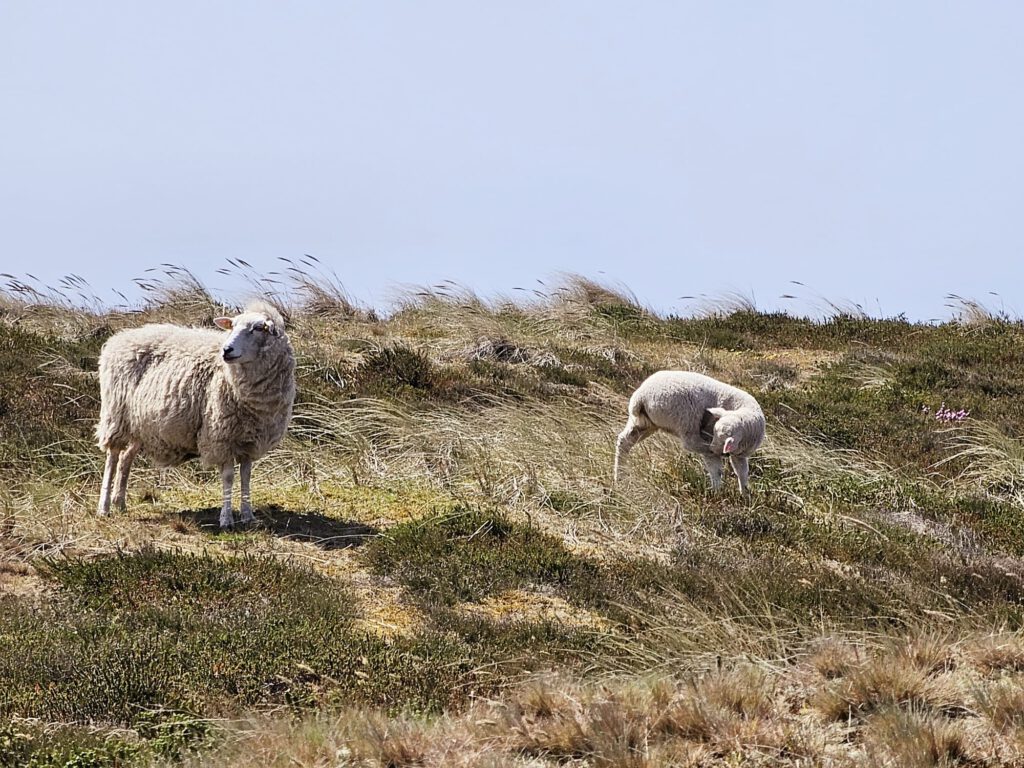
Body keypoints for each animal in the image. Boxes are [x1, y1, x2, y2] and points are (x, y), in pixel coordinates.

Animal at [95, 300, 296, 528]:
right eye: (232, 326)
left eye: (258, 328)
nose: (226, 350)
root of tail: (119, 337)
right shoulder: (221, 436)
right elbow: (228, 477)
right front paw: (226, 520)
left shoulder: (250, 440)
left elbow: (246, 476)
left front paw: (248, 516)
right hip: (116, 415)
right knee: (112, 457)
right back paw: (104, 507)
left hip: (141, 424)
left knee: (126, 458)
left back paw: (120, 503)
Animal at [613, 371, 765, 493]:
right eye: (715, 435)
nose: (712, 447)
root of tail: (640, 396)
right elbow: (716, 469)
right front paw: (717, 493)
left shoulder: (740, 455)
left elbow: (742, 472)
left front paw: (745, 495)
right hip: (685, 420)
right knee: (690, 444)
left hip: (643, 423)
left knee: (624, 441)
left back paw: (619, 477)